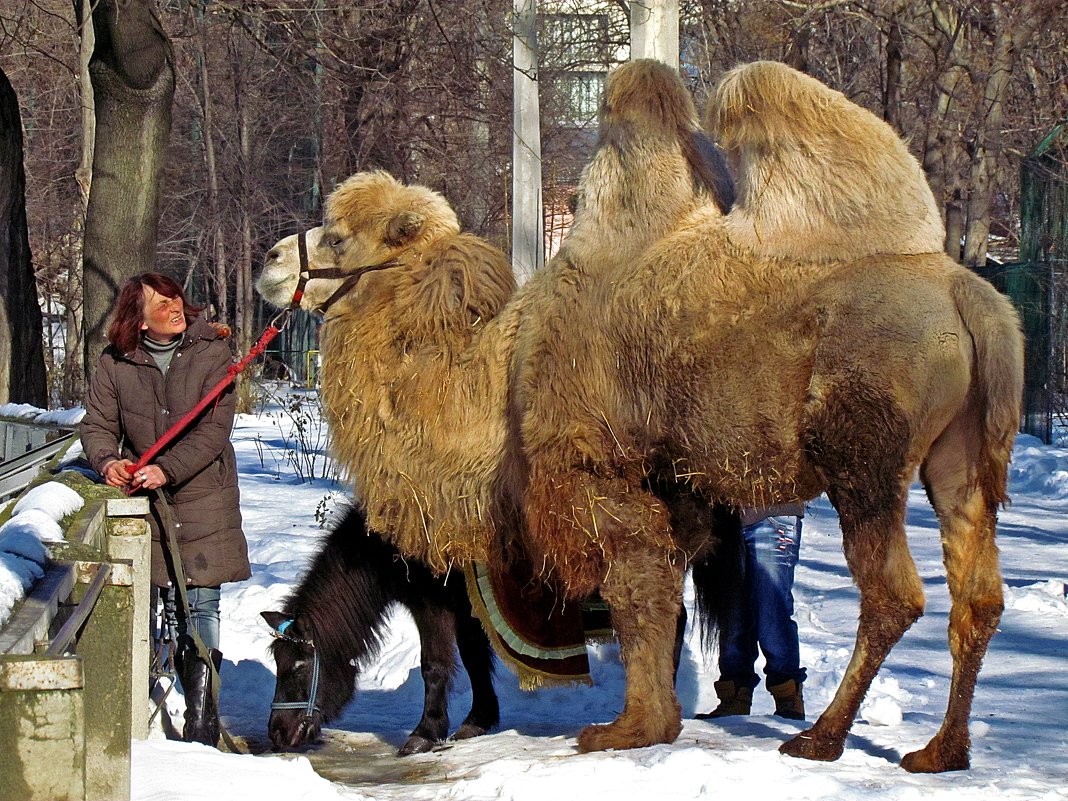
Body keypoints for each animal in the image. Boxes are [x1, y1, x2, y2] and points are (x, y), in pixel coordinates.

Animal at [260, 508, 497, 760]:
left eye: (299, 667)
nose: (276, 732)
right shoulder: (468, 610)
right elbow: (475, 659)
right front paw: (478, 721)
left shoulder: (433, 607)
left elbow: (434, 666)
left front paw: (424, 734)